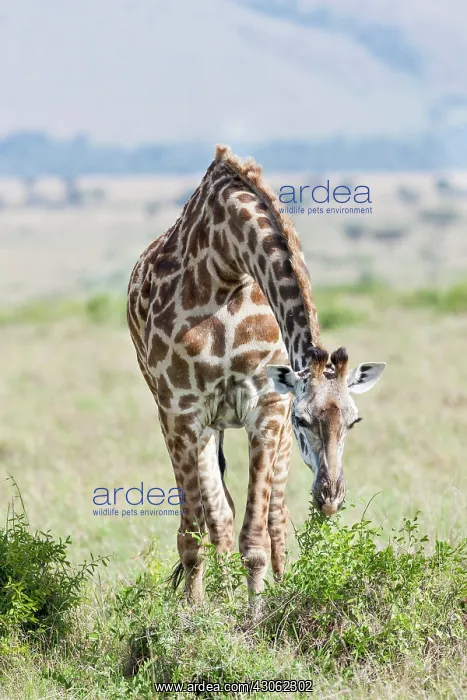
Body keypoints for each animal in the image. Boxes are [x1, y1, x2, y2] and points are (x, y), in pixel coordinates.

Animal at [127, 145, 386, 603]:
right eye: (304, 419)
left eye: (354, 421)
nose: (331, 497)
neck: (226, 264)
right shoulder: (181, 411)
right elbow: (193, 535)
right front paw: (196, 614)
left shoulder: (267, 409)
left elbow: (256, 538)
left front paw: (258, 613)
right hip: (199, 424)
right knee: (219, 516)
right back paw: (220, 596)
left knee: (273, 518)